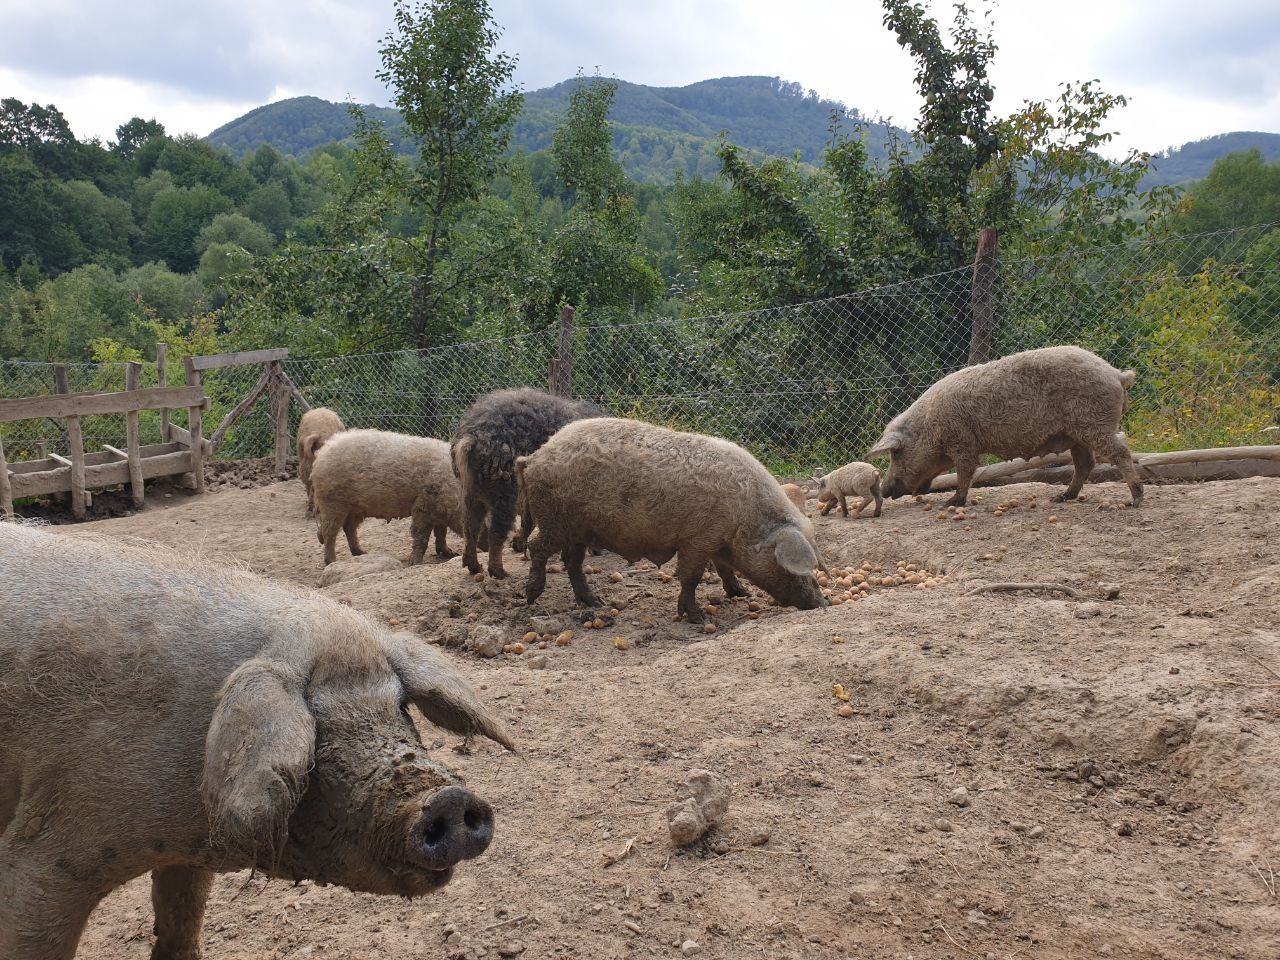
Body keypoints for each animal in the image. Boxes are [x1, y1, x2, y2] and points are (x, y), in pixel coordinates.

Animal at [0, 522, 509, 960]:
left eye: (400, 705)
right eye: (314, 722)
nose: (447, 799)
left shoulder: (185, 855)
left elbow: (182, 921)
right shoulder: (50, 853)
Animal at [311, 427, 465, 563]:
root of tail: (322, 453)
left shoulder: (438, 509)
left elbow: (441, 533)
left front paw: (451, 554)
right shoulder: (423, 505)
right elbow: (421, 536)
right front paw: (415, 563)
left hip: (355, 508)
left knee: (349, 528)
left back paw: (362, 553)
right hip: (332, 502)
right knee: (329, 532)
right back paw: (332, 562)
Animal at [453, 386, 606, 583]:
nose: (599, 551)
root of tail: (471, 438)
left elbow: (529, 520)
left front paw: (519, 545)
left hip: (471, 491)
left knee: (469, 527)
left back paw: (474, 567)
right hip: (504, 490)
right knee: (496, 530)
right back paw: (500, 573)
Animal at [519, 419, 829, 624]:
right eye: (793, 568)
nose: (822, 602)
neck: (746, 519)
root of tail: (535, 456)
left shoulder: (716, 541)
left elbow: (725, 570)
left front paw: (740, 593)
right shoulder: (698, 540)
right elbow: (690, 577)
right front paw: (698, 618)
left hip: (579, 529)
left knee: (571, 562)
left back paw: (595, 601)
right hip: (556, 520)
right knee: (536, 547)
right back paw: (532, 596)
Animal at [870, 348, 1141, 512]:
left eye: (895, 453)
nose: (884, 488)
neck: (930, 426)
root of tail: (1116, 374)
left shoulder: (963, 442)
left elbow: (965, 472)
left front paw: (950, 503)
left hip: (1095, 424)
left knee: (1120, 451)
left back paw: (1135, 500)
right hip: (1077, 435)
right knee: (1086, 463)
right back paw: (1060, 498)